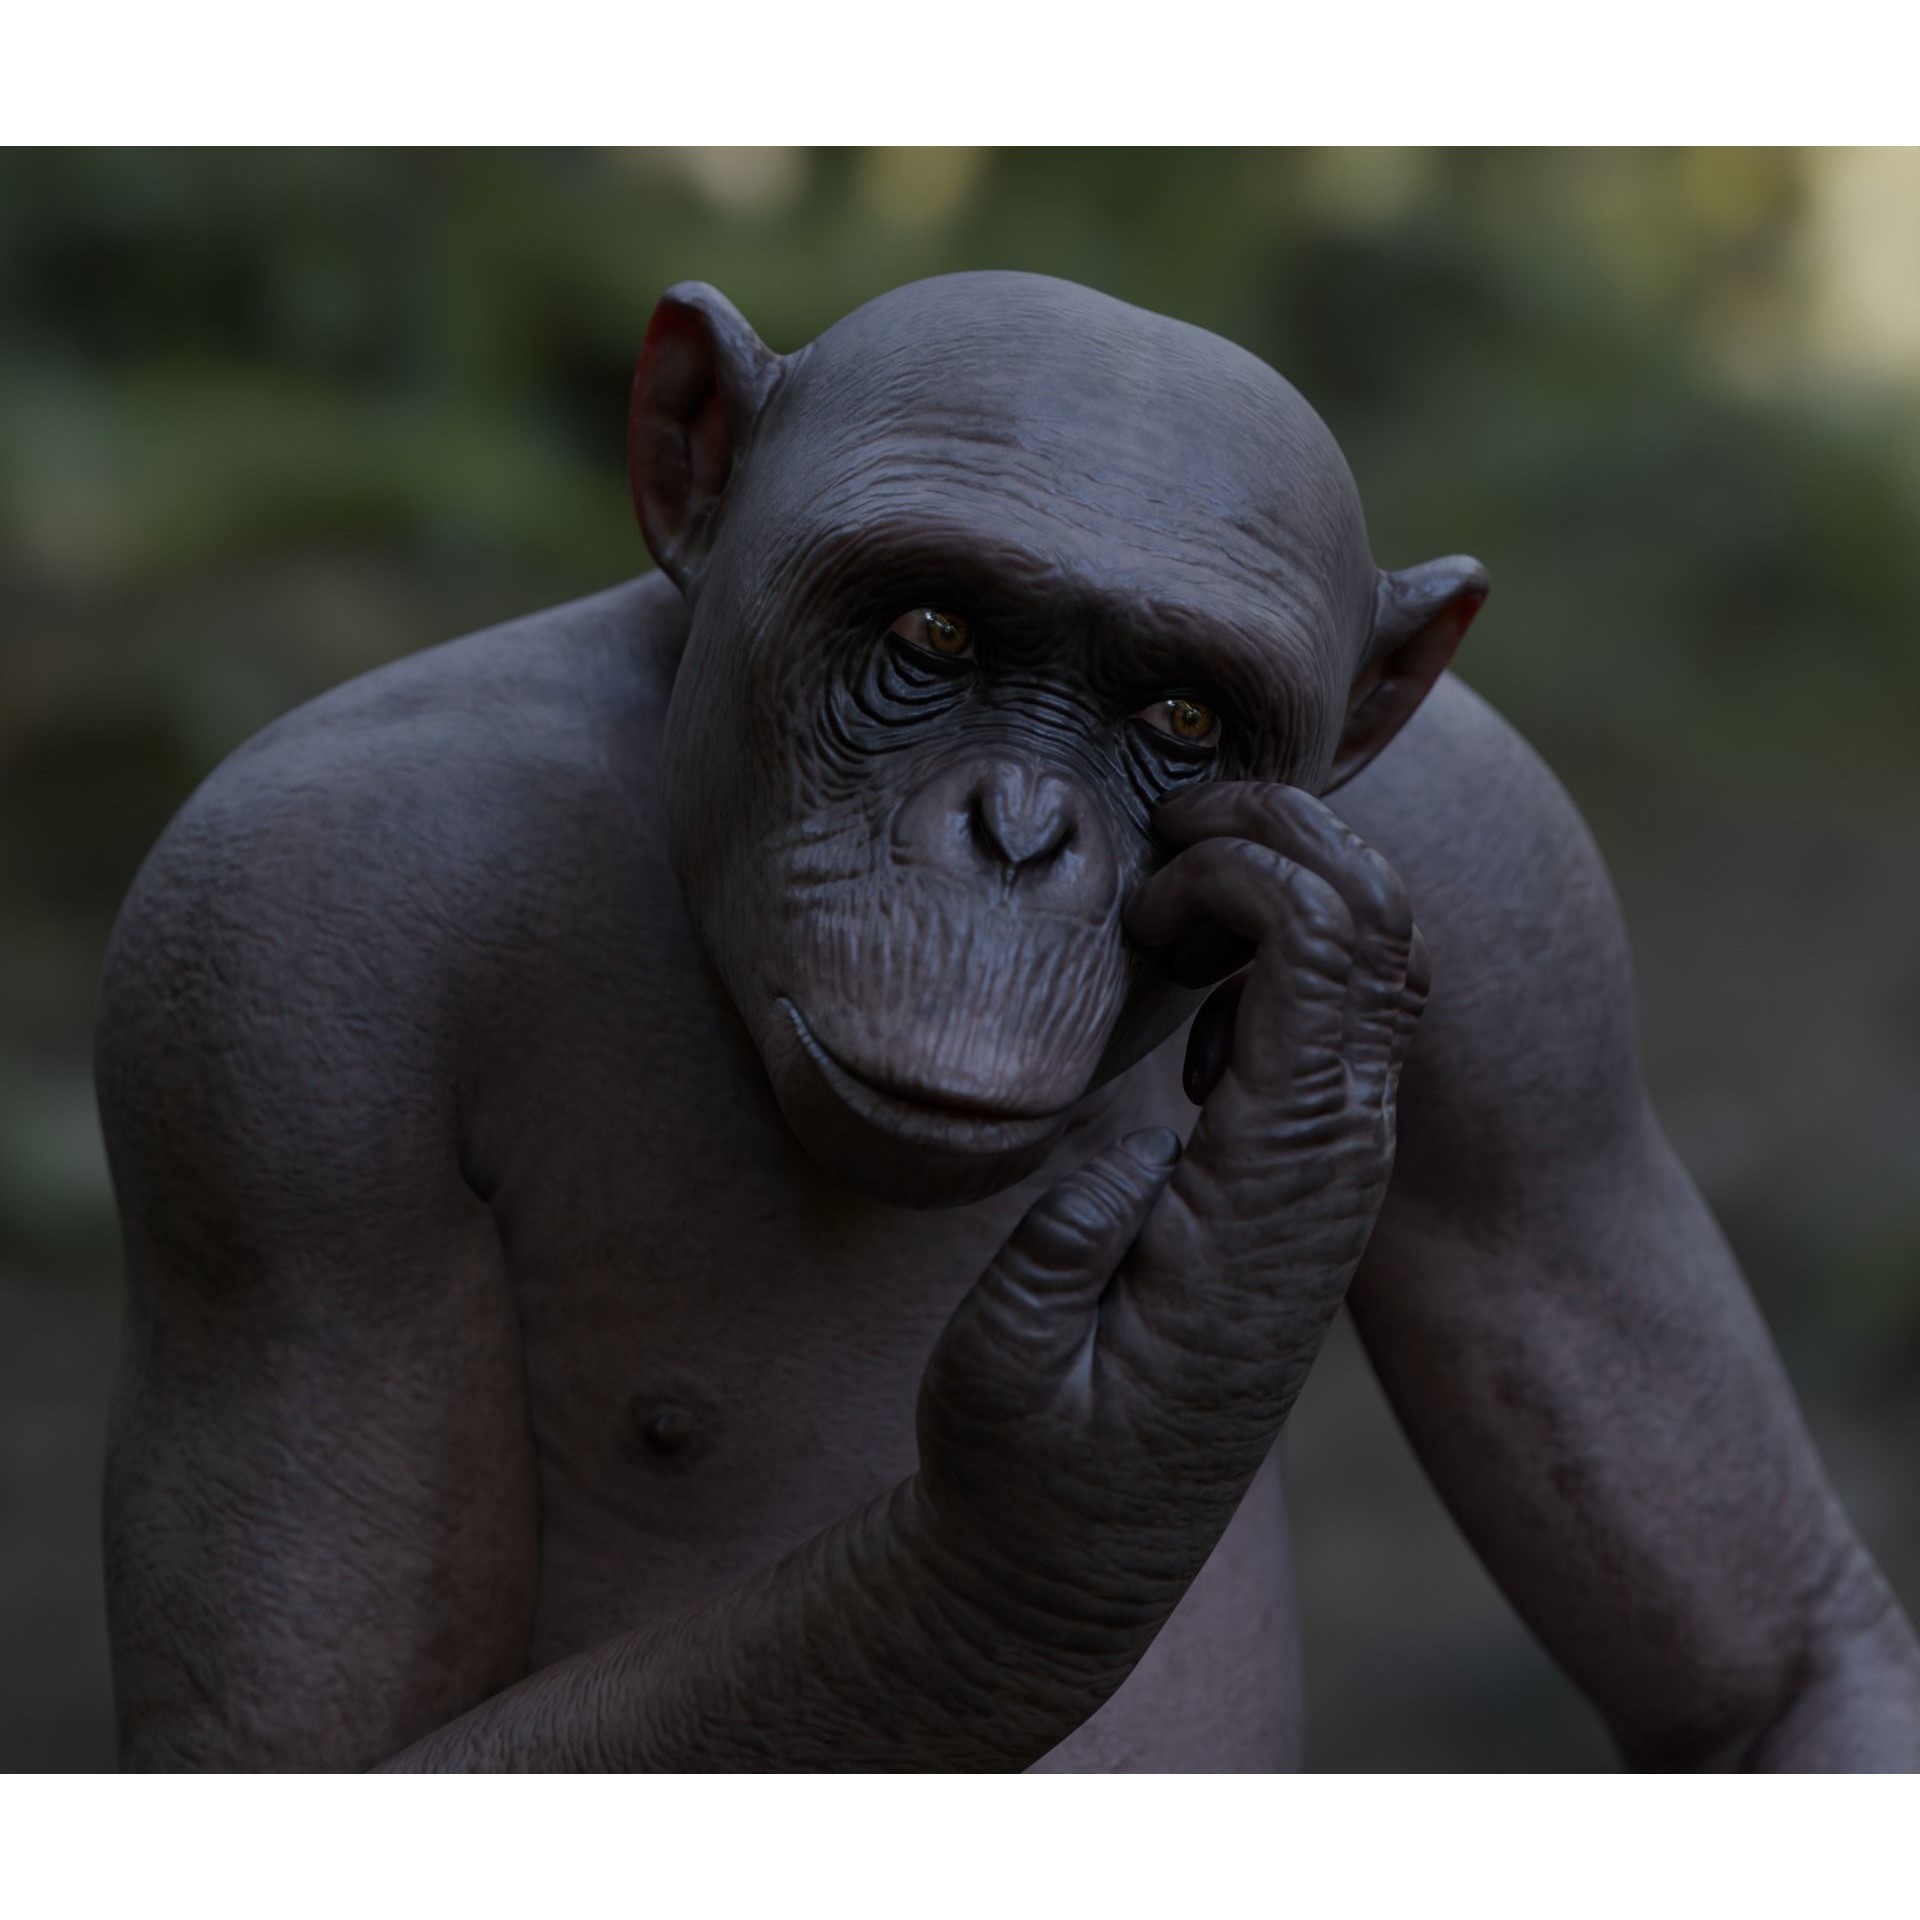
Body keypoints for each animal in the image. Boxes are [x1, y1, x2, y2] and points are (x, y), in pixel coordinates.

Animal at [94, 271, 1920, 1769]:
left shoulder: (1529, 923)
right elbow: (308, 1754)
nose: (1021, 834)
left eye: (1181, 716)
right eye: (932, 629)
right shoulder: (279, 963)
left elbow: (1776, 1665)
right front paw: (1104, 1452)